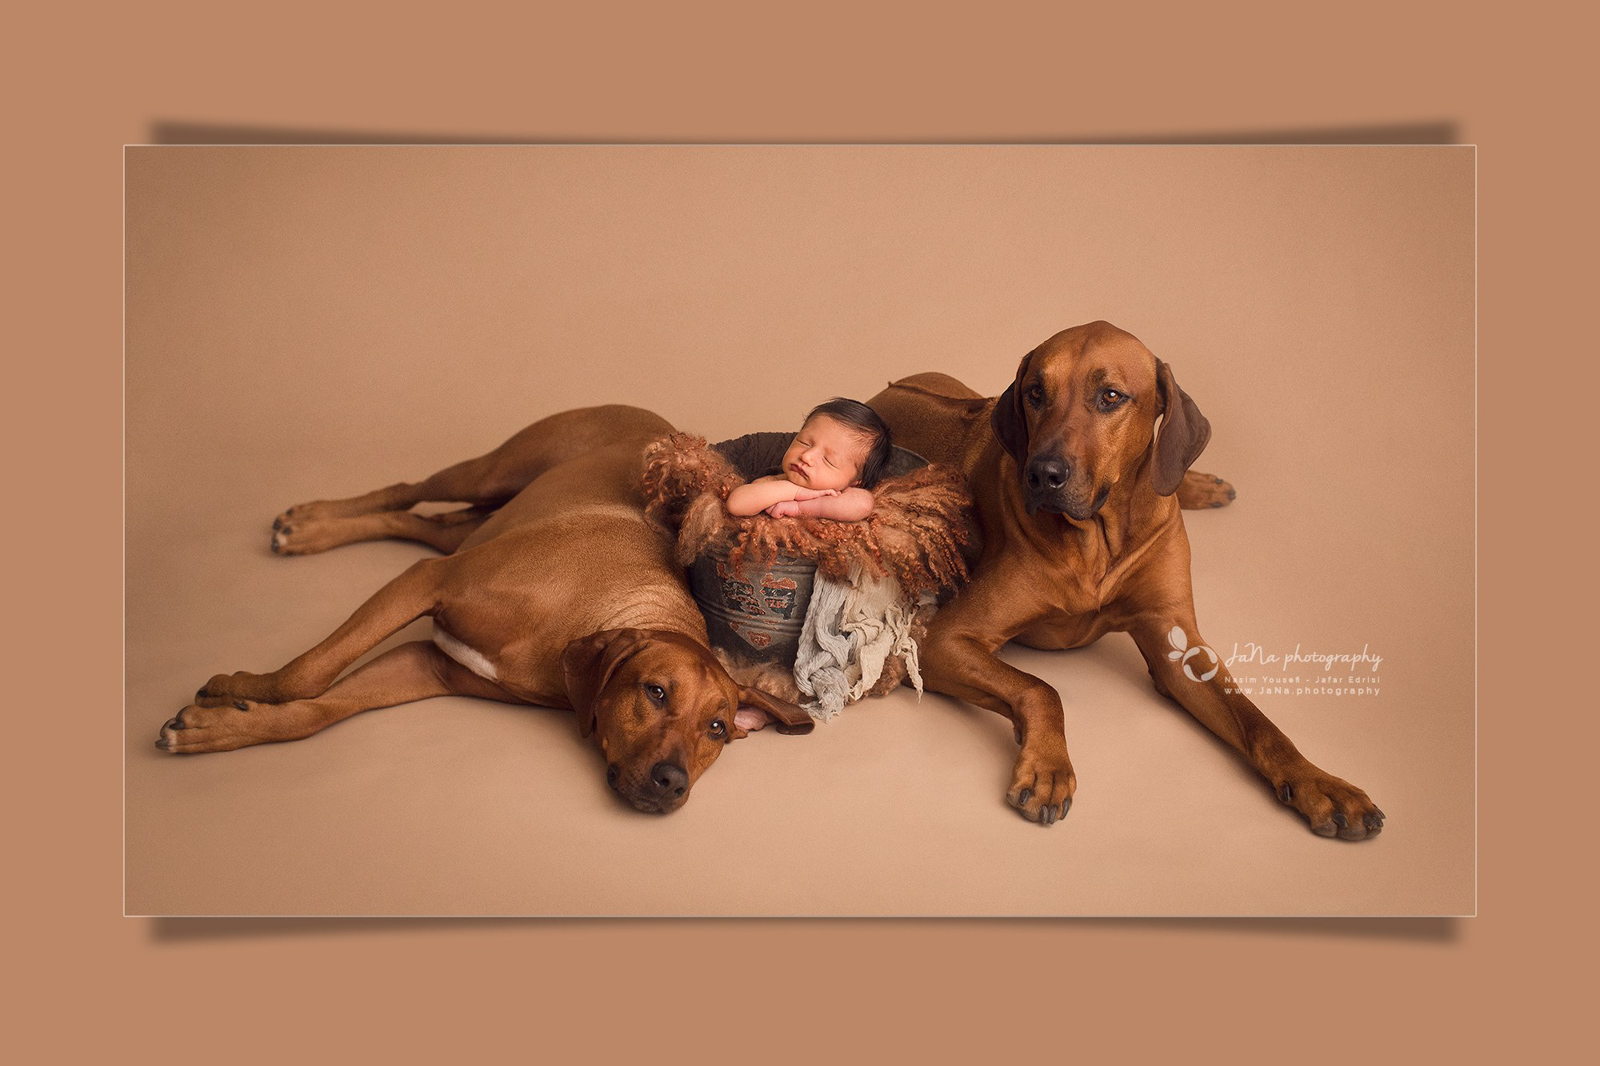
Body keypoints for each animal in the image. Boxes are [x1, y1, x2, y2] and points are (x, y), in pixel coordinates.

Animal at [156, 403, 812, 809]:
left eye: (717, 729)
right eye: (654, 692)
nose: (672, 781)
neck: (587, 618)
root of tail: (663, 428)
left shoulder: (427, 666)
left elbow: (318, 711)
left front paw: (219, 725)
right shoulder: (426, 583)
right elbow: (307, 674)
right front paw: (234, 686)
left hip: (481, 519)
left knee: (427, 523)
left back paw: (310, 531)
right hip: (491, 471)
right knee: (408, 491)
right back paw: (309, 522)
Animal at [870, 320, 1382, 832]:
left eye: (1111, 396)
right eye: (1036, 393)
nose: (1041, 474)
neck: (1098, 541)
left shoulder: (1176, 641)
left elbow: (1259, 723)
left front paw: (1321, 783)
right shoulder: (942, 640)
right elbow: (1041, 687)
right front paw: (1048, 766)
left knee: (1167, 467)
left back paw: (1198, 484)